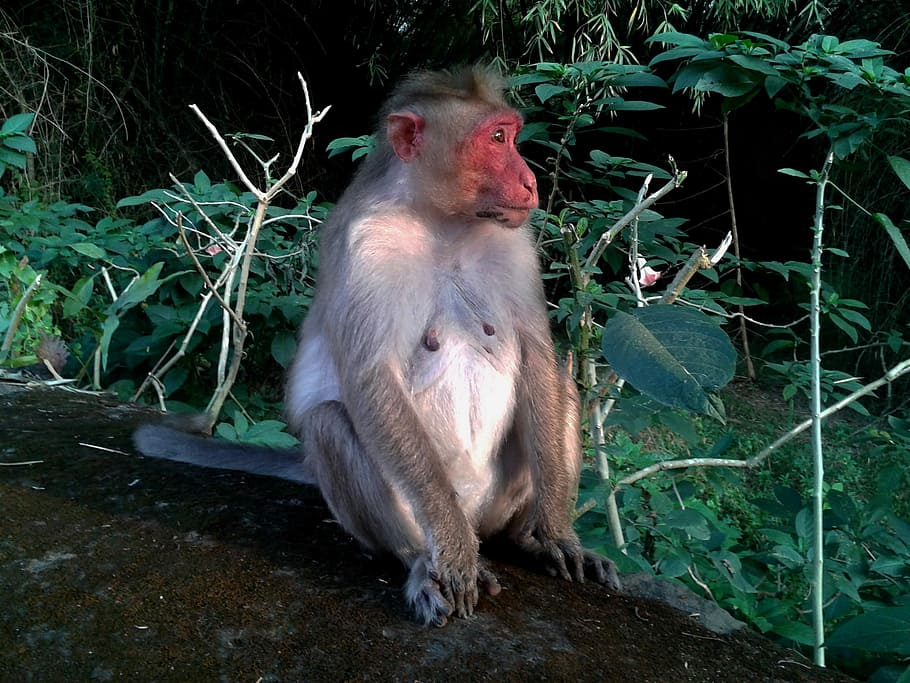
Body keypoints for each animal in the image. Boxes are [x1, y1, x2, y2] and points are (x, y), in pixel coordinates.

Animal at [134, 67, 620, 628]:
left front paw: (559, 535)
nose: (530, 182)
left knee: (559, 384)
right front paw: (454, 557)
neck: (442, 223)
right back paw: (423, 563)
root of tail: (477, 517)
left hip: (500, 499)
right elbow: (371, 378)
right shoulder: (367, 246)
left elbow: (540, 360)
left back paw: (526, 540)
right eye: (497, 138)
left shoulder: (515, 244)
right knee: (329, 423)